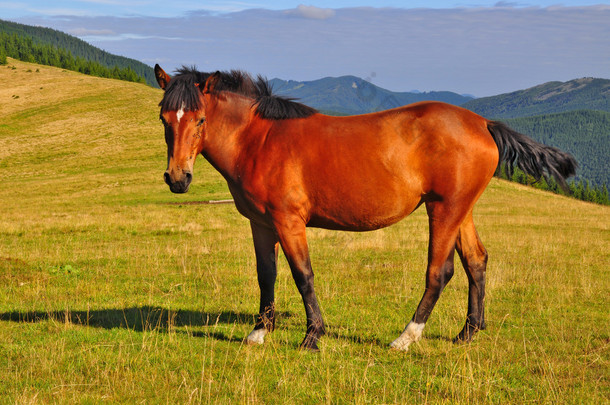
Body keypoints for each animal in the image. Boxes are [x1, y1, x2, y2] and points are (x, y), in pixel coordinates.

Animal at [152, 64, 576, 350]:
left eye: (200, 119)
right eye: (164, 118)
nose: (178, 178)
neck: (261, 139)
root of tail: (483, 123)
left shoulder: (289, 222)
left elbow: (303, 275)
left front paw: (312, 336)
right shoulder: (261, 224)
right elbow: (266, 275)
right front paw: (260, 331)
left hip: (444, 210)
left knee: (439, 272)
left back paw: (406, 337)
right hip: (461, 210)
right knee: (476, 262)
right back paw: (468, 332)